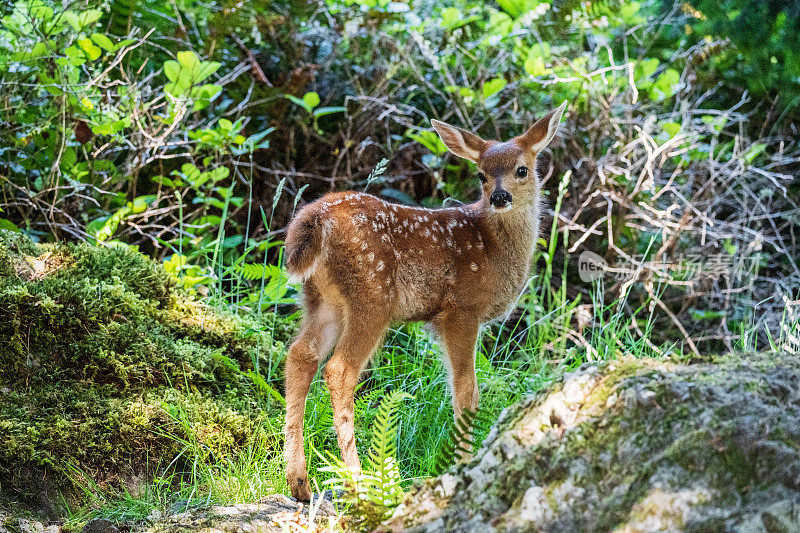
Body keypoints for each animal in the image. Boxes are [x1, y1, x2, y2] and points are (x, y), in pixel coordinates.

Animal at [284, 101, 564, 498]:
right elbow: (466, 392)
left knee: (300, 355)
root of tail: (315, 218)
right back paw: (359, 480)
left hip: (322, 300)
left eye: (521, 170)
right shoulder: (462, 309)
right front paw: (463, 464)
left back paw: (300, 483)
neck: (493, 249)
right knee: (339, 370)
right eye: (481, 175)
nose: (499, 197)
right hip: (372, 296)